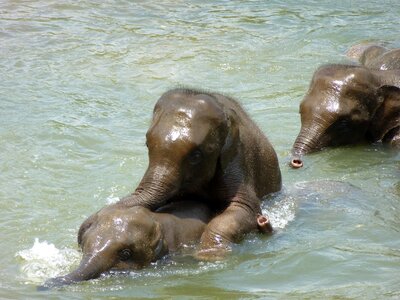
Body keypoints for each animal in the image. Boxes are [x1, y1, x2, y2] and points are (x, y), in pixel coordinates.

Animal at [80, 88, 282, 258]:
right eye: (147, 144)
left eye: (196, 155)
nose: (85, 228)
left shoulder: (237, 160)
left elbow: (244, 208)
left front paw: (208, 254)